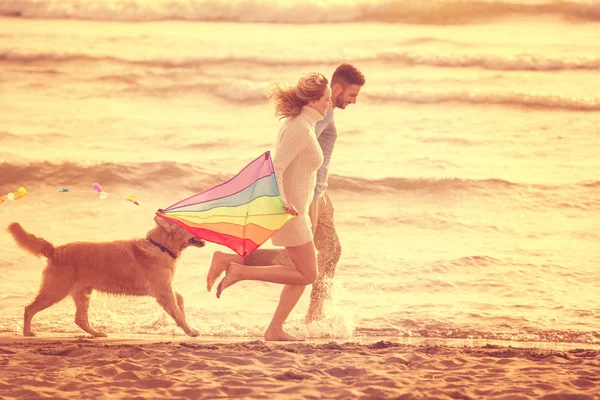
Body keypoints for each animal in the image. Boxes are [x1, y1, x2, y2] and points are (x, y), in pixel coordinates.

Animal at [7, 216, 205, 338]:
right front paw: (190, 330)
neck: (161, 245)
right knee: (29, 309)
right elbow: (177, 312)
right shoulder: (163, 292)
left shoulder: (165, 288)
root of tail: (55, 250)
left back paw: (96, 333)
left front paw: (184, 322)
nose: (204, 228)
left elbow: (180, 300)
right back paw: (27, 332)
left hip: (82, 293)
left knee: (80, 319)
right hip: (55, 291)